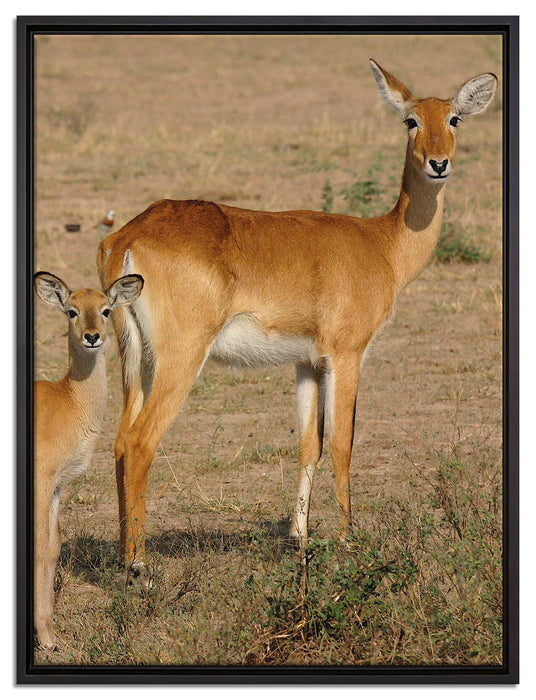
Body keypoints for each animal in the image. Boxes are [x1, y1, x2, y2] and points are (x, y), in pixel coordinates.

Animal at [33, 271, 143, 649]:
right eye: (71, 311)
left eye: (106, 309)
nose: (92, 337)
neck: (68, 400)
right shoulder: (41, 481)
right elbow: (39, 546)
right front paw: (45, 638)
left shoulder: (56, 487)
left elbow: (53, 547)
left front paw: (49, 632)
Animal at [97, 60, 497, 586]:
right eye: (410, 120)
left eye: (454, 119)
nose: (438, 163)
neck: (382, 245)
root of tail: (127, 236)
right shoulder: (347, 356)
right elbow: (344, 444)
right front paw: (349, 542)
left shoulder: (306, 363)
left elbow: (310, 445)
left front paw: (299, 539)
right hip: (180, 357)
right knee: (142, 442)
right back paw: (141, 566)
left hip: (136, 358)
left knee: (121, 441)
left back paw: (125, 558)